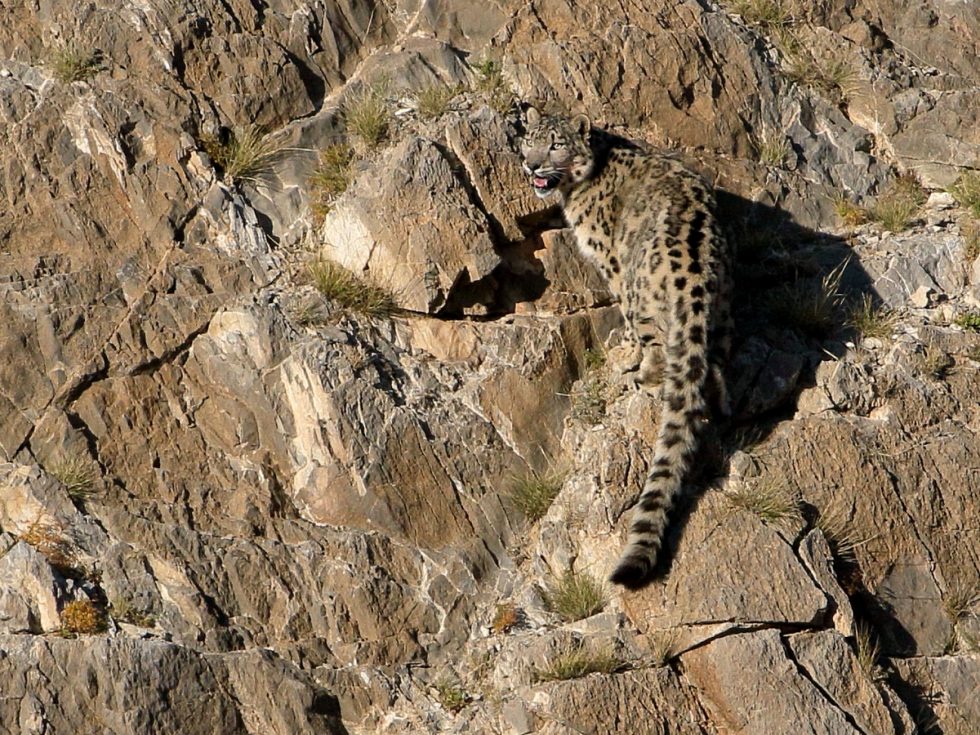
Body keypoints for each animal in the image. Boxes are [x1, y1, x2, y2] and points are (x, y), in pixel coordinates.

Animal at [520, 106, 733, 589]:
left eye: (556, 144)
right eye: (530, 139)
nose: (532, 165)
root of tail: (694, 277)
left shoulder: (608, 262)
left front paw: (624, 356)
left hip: (640, 294)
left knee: (658, 352)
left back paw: (639, 374)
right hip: (722, 308)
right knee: (713, 365)